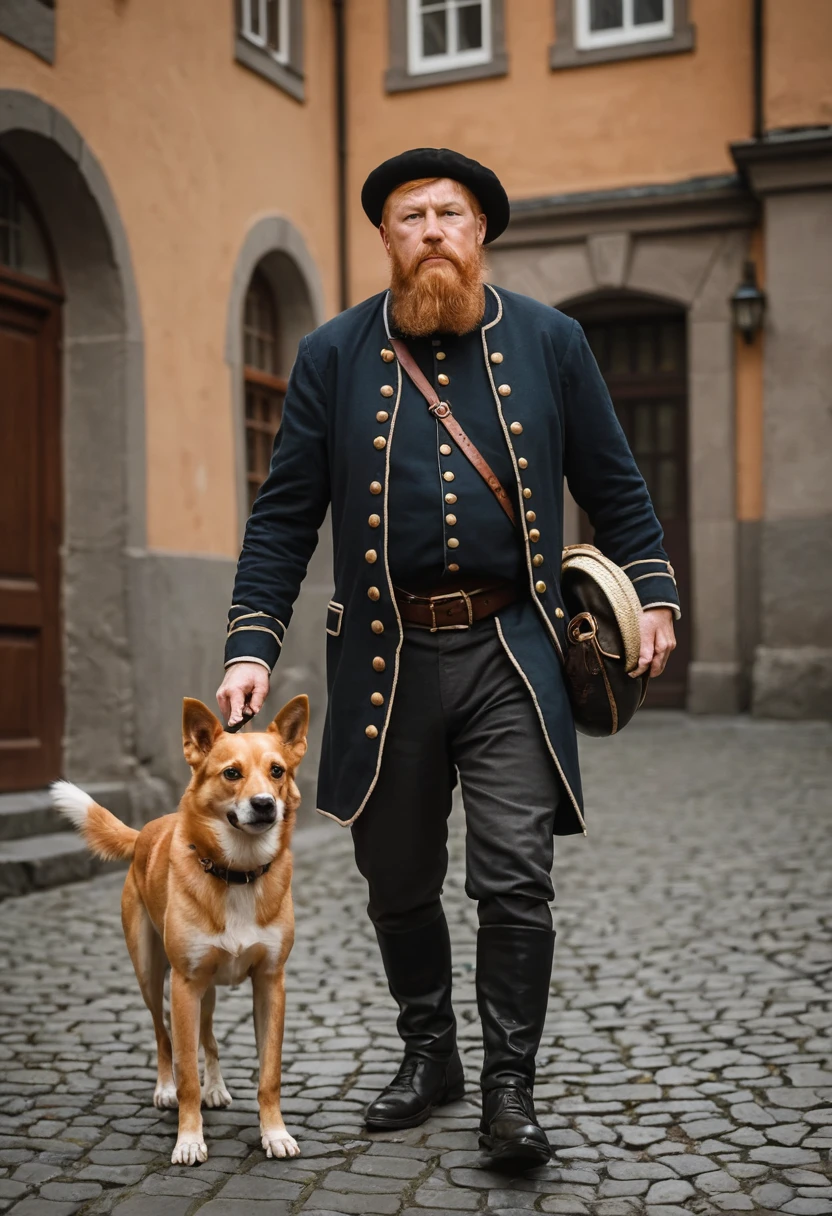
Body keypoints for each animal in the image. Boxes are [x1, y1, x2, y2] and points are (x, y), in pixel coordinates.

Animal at [51, 700, 308, 1162]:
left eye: (277, 770)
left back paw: (216, 1087)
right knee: (163, 1036)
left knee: (208, 1038)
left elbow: (269, 1074)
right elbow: (186, 1068)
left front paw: (274, 1133)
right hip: (154, 976)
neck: (237, 872)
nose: (265, 804)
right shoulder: (185, 985)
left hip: (207, 990)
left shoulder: (270, 982)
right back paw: (165, 1090)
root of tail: (144, 833)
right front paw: (189, 1139)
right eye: (232, 773)